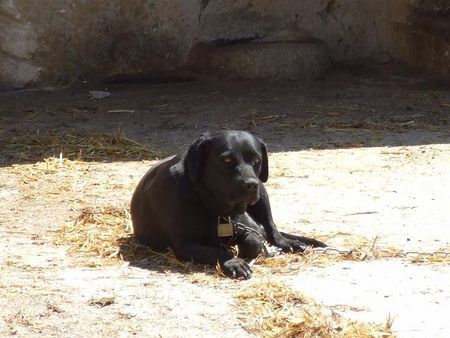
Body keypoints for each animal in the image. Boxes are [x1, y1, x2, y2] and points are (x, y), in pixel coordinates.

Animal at [132, 131, 326, 278]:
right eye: (227, 160)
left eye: (256, 160)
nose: (251, 184)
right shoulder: (185, 244)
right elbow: (216, 251)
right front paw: (233, 261)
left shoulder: (252, 228)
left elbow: (255, 239)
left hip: (262, 192)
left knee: (272, 229)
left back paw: (288, 242)